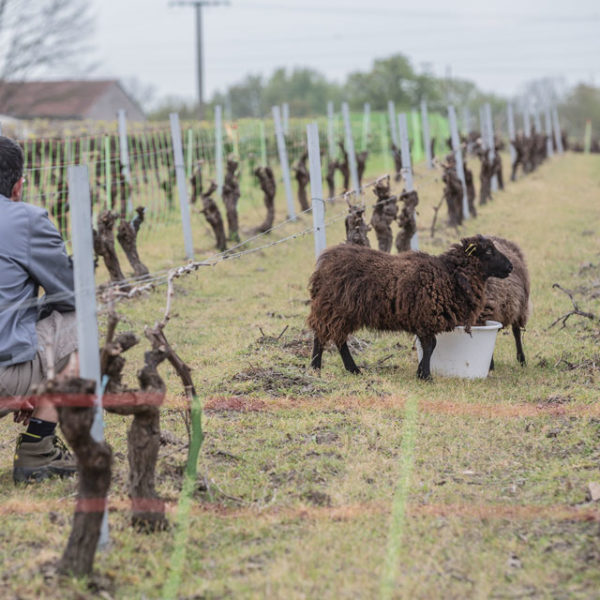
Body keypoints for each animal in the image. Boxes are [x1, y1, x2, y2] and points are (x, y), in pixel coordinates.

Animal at [310, 234, 510, 380]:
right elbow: (430, 346)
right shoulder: (425, 318)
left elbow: (431, 346)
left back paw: (353, 370)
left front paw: (421, 372)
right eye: (489, 251)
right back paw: (315, 368)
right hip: (332, 308)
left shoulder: (424, 321)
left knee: (339, 339)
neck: (450, 275)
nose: (511, 267)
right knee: (321, 335)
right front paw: (426, 376)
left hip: (342, 313)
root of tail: (324, 261)